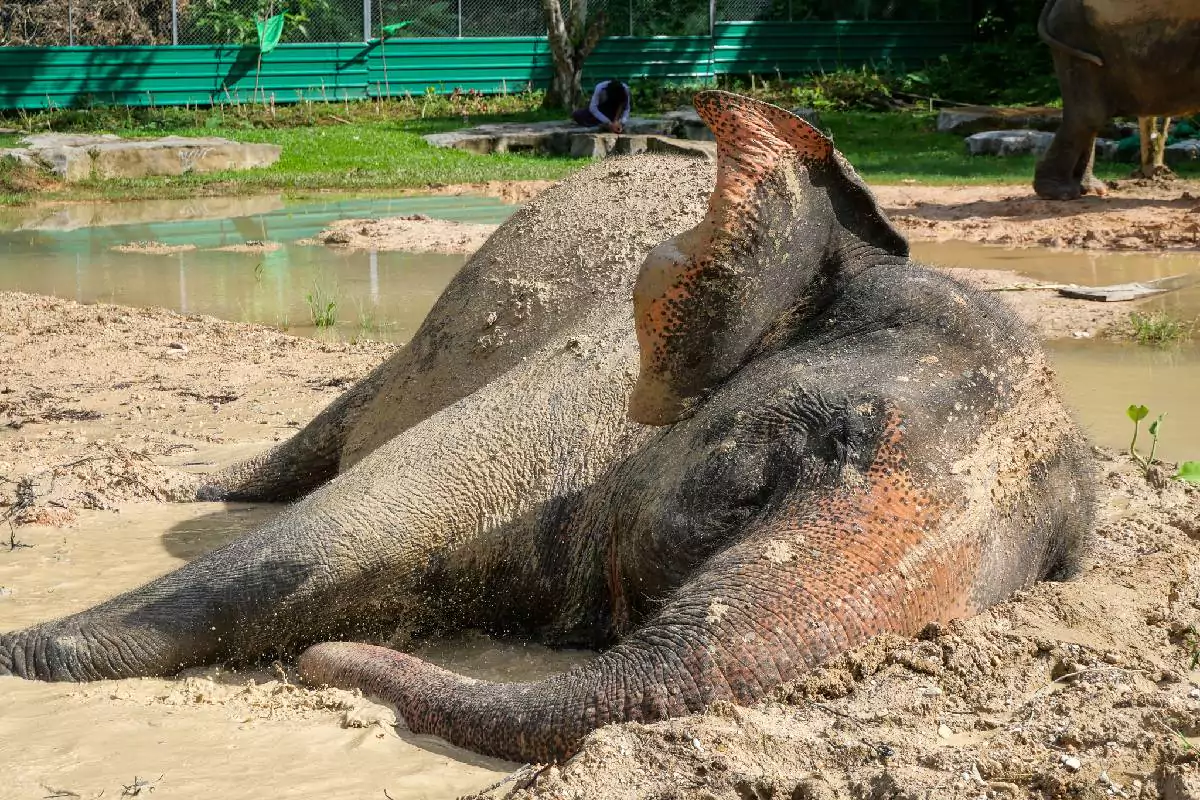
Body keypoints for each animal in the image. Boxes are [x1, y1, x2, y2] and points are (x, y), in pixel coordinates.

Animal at [0, 92, 1096, 764]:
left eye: (1051, 570)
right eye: (789, 454)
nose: (322, 668)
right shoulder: (573, 389)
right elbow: (334, 533)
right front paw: (24, 651)